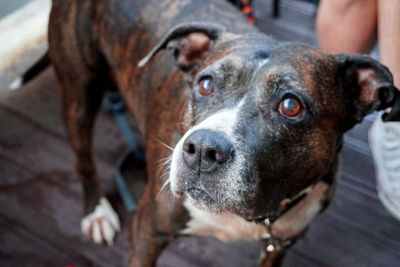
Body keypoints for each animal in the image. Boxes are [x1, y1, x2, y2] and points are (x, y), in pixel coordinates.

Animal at [13, 0, 400, 266]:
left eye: (291, 106)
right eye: (205, 83)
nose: (202, 149)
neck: (252, 216)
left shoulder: (279, 244)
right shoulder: (147, 232)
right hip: (79, 92)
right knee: (83, 157)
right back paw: (96, 212)